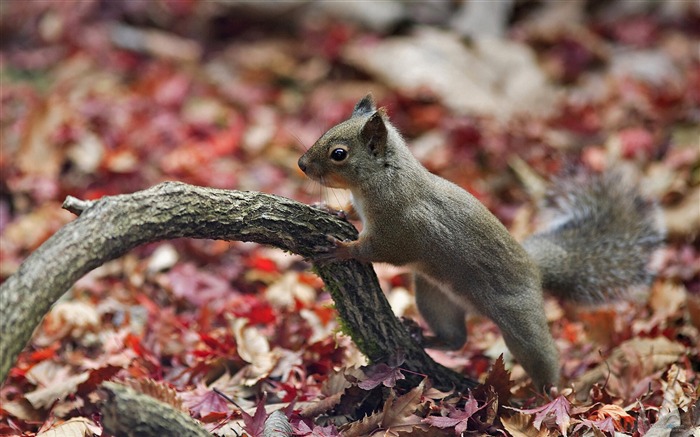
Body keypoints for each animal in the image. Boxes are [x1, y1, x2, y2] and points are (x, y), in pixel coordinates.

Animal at [296, 94, 668, 388]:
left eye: (339, 153)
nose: (301, 164)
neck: (383, 178)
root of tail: (535, 270)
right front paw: (330, 209)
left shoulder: (401, 229)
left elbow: (381, 250)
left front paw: (343, 249)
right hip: (435, 297)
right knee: (456, 339)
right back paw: (422, 335)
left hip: (520, 320)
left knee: (541, 354)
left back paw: (548, 397)